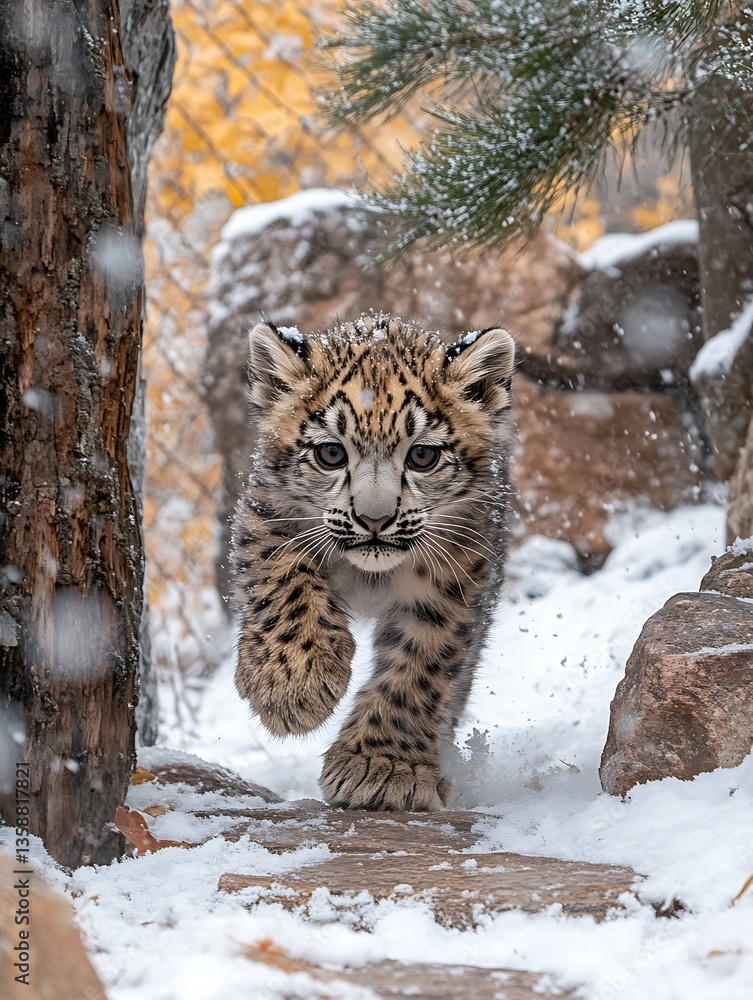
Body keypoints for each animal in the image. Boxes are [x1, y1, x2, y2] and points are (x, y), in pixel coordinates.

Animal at [232, 313, 516, 811]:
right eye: (330, 452)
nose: (375, 519)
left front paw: (383, 766)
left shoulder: (456, 578)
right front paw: (292, 686)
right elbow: (283, 578)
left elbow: (422, 660)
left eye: (422, 455)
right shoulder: (268, 516)